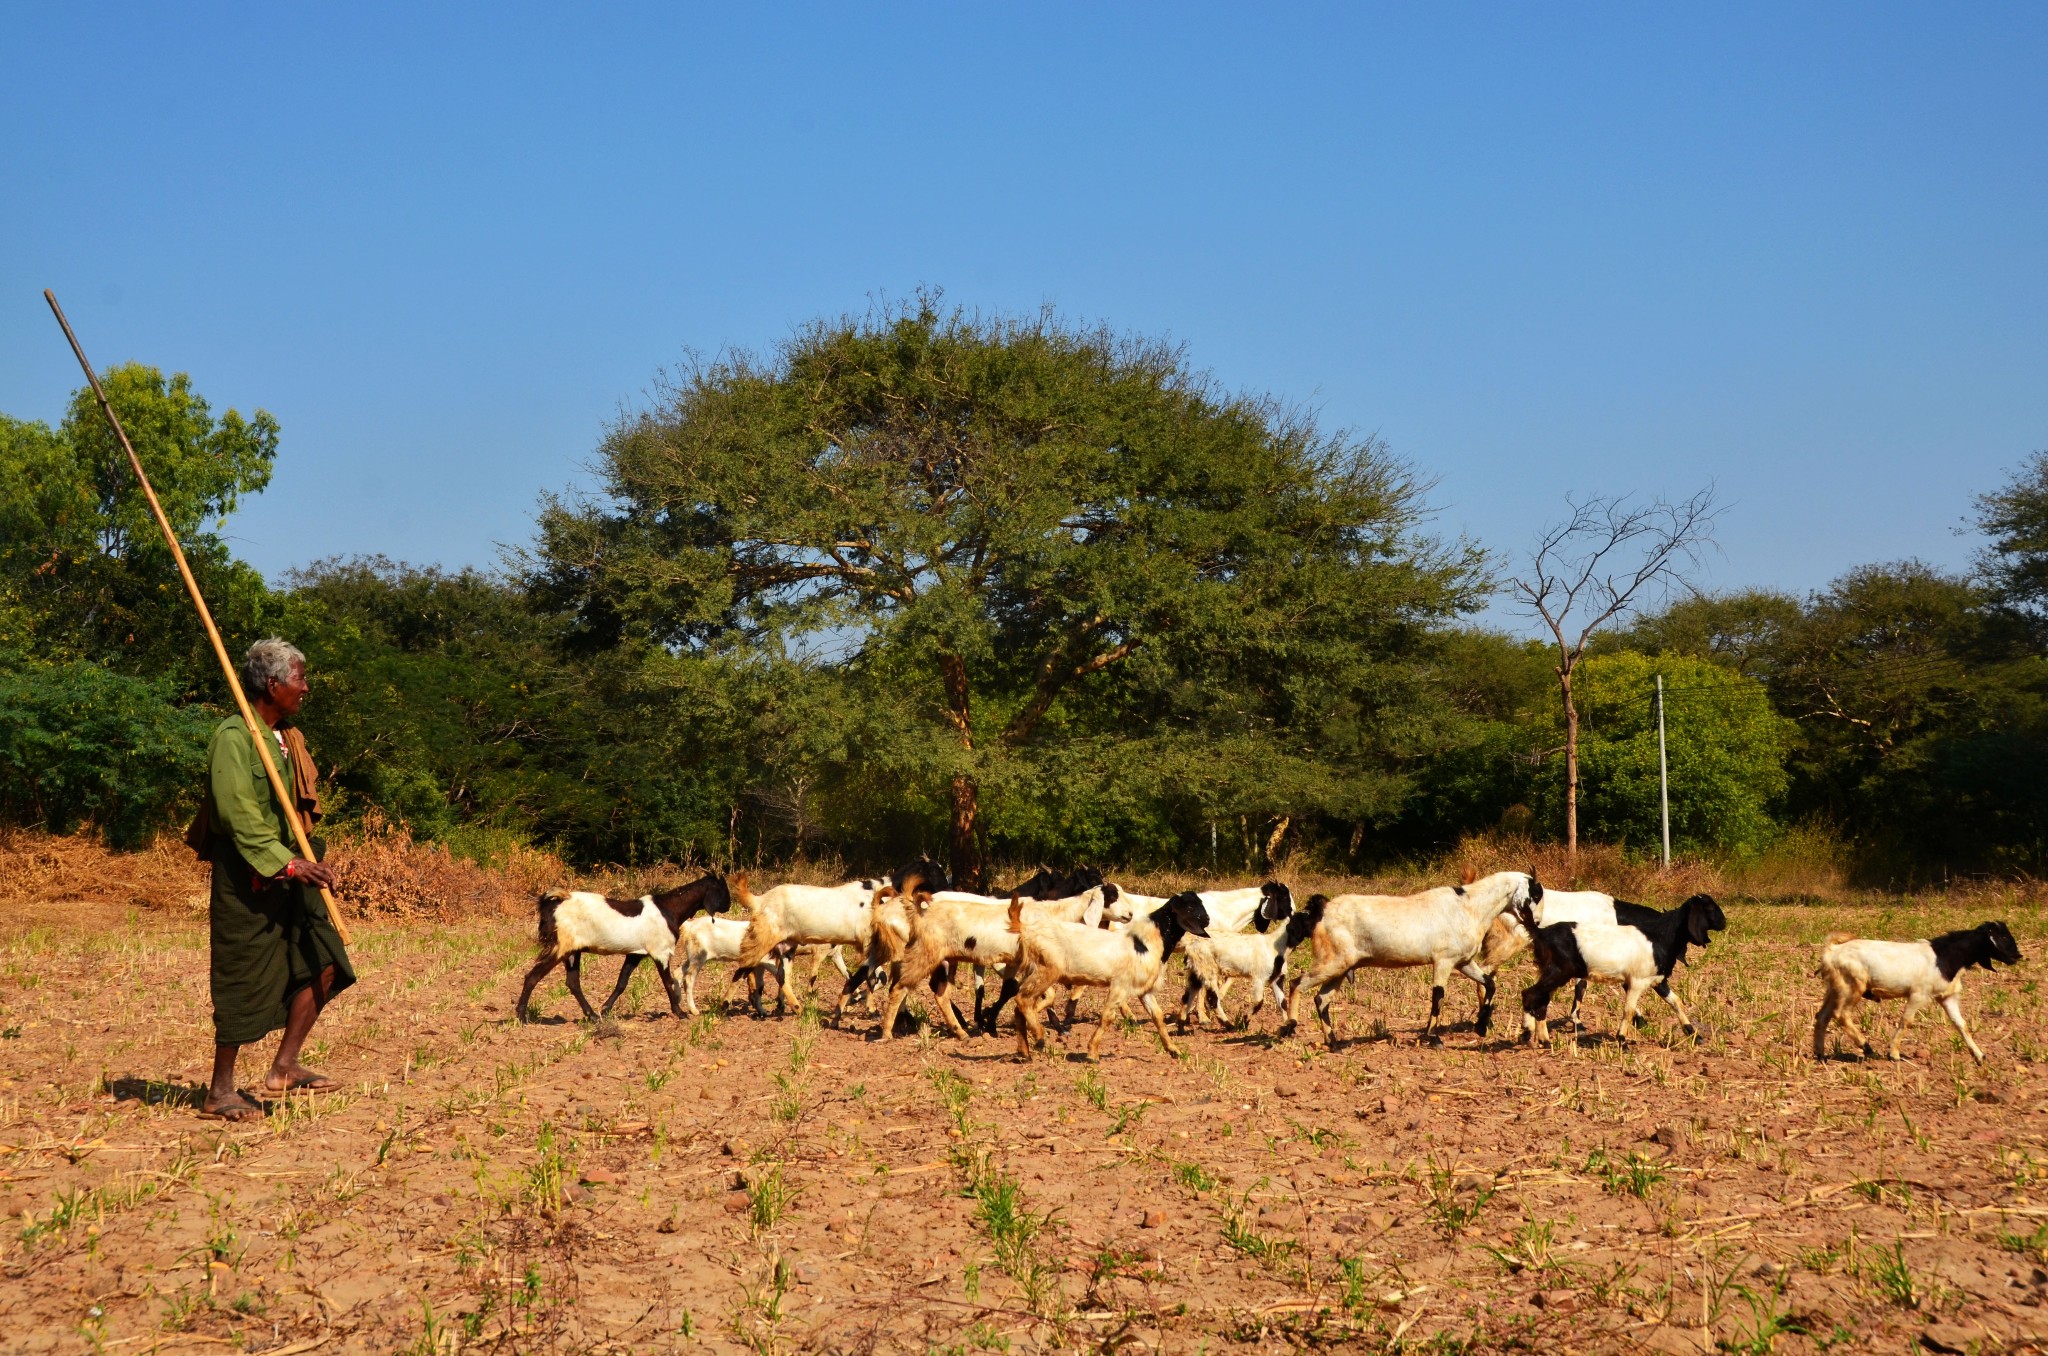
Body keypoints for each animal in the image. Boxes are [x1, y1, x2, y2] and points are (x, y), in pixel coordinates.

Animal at [516, 876, 741, 1024]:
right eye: (723, 889)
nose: (729, 905)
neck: (669, 909)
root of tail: (553, 905)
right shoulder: (660, 952)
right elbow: (667, 982)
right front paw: (679, 1012)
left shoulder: (635, 954)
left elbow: (622, 982)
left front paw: (605, 1009)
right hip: (560, 947)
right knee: (532, 976)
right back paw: (521, 1016)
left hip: (573, 950)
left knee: (572, 982)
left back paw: (593, 1016)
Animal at [1507, 897, 1728, 1044]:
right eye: (1709, 907)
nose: (1724, 922)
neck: (1660, 936)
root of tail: (1540, 932)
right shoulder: (1637, 981)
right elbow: (1628, 1010)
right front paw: (1622, 1040)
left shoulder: (1658, 980)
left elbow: (1677, 1002)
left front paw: (1694, 1034)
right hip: (1558, 971)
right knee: (1531, 994)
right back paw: (1531, 1036)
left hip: (1550, 972)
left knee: (1539, 999)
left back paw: (1536, 1037)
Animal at [1818, 929, 2023, 1065]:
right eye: (2002, 937)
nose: (2018, 956)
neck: (1945, 956)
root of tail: (1831, 951)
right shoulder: (1919, 994)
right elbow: (1906, 1021)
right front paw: (1894, 1054)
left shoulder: (1947, 997)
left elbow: (1961, 1025)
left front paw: (1979, 1056)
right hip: (1852, 986)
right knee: (1841, 1015)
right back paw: (1866, 1046)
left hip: (1835, 989)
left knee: (1822, 1017)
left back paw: (1819, 1054)